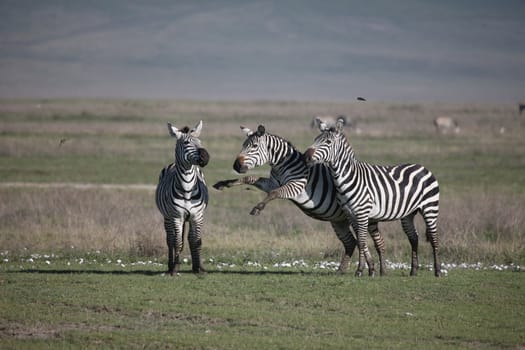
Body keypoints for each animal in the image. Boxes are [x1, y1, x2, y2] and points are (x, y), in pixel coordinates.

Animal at [155, 121, 210, 276]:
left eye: (200, 142)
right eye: (186, 143)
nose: (206, 157)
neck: (187, 189)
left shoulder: (197, 216)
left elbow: (196, 241)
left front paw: (199, 268)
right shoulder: (176, 217)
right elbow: (177, 242)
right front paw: (175, 268)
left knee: (190, 239)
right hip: (167, 217)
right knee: (170, 239)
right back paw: (171, 266)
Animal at [211, 124, 386, 274]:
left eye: (253, 146)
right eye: (243, 145)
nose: (236, 166)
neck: (282, 165)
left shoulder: (296, 186)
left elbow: (274, 193)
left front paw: (258, 208)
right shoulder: (272, 182)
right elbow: (250, 179)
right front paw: (223, 183)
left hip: (364, 217)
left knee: (371, 241)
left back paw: (375, 269)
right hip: (340, 221)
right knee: (352, 242)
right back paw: (347, 270)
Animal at [302, 117, 442, 276]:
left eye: (328, 142)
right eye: (315, 140)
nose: (305, 156)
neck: (349, 177)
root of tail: (423, 168)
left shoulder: (362, 213)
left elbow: (362, 241)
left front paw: (359, 270)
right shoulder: (351, 214)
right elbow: (360, 241)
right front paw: (365, 269)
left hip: (430, 208)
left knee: (434, 238)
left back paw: (438, 271)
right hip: (408, 214)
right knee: (413, 237)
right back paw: (413, 271)